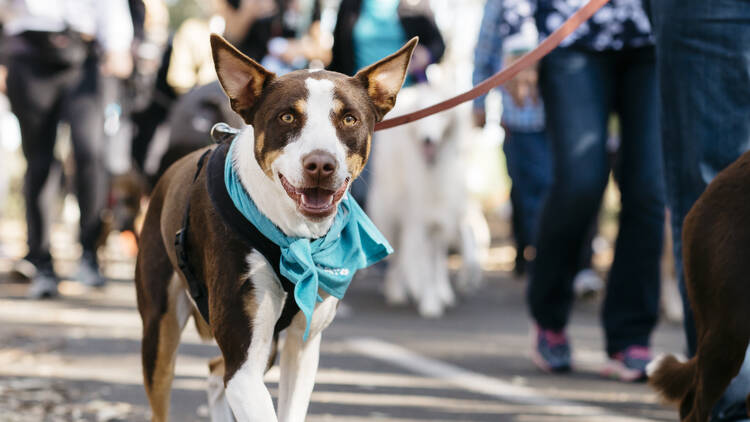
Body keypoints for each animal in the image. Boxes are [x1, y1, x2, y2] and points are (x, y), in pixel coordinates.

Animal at [135, 34, 418, 420]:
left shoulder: (303, 347)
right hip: (160, 328)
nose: (320, 164)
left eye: (349, 119)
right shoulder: (243, 361)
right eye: (287, 116)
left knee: (215, 372)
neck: (296, 237)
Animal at [368, 78, 490, 316]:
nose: (427, 140)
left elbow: (439, 259)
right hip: (392, 208)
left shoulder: (444, 215)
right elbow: (421, 258)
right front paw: (427, 299)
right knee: (399, 253)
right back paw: (397, 290)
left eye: (441, 115)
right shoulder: (418, 216)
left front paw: (437, 294)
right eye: (422, 117)